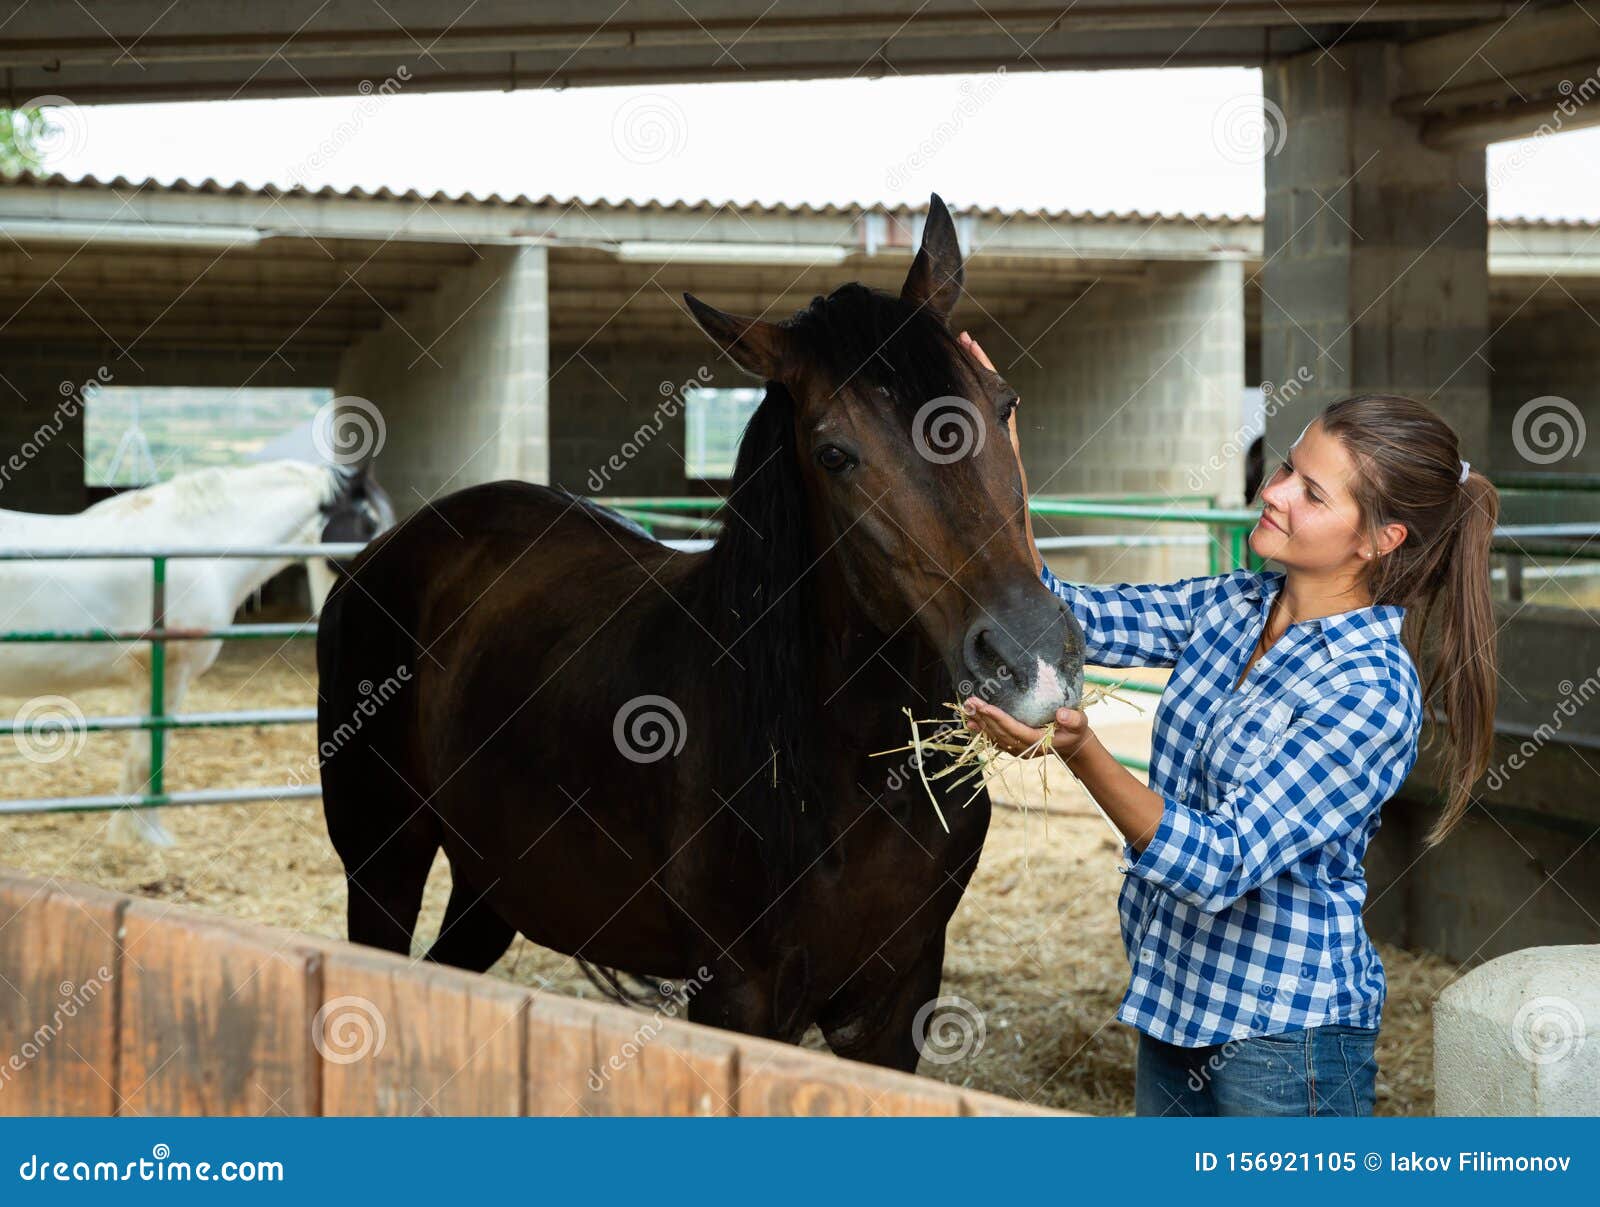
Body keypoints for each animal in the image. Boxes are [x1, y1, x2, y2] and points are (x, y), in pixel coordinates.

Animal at [317, 194, 1085, 1071]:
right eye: (834, 454)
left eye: (1004, 403)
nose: (1032, 658)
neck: (840, 770)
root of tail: (379, 556)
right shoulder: (737, 999)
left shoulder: (896, 1004)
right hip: (381, 862)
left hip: (492, 881)